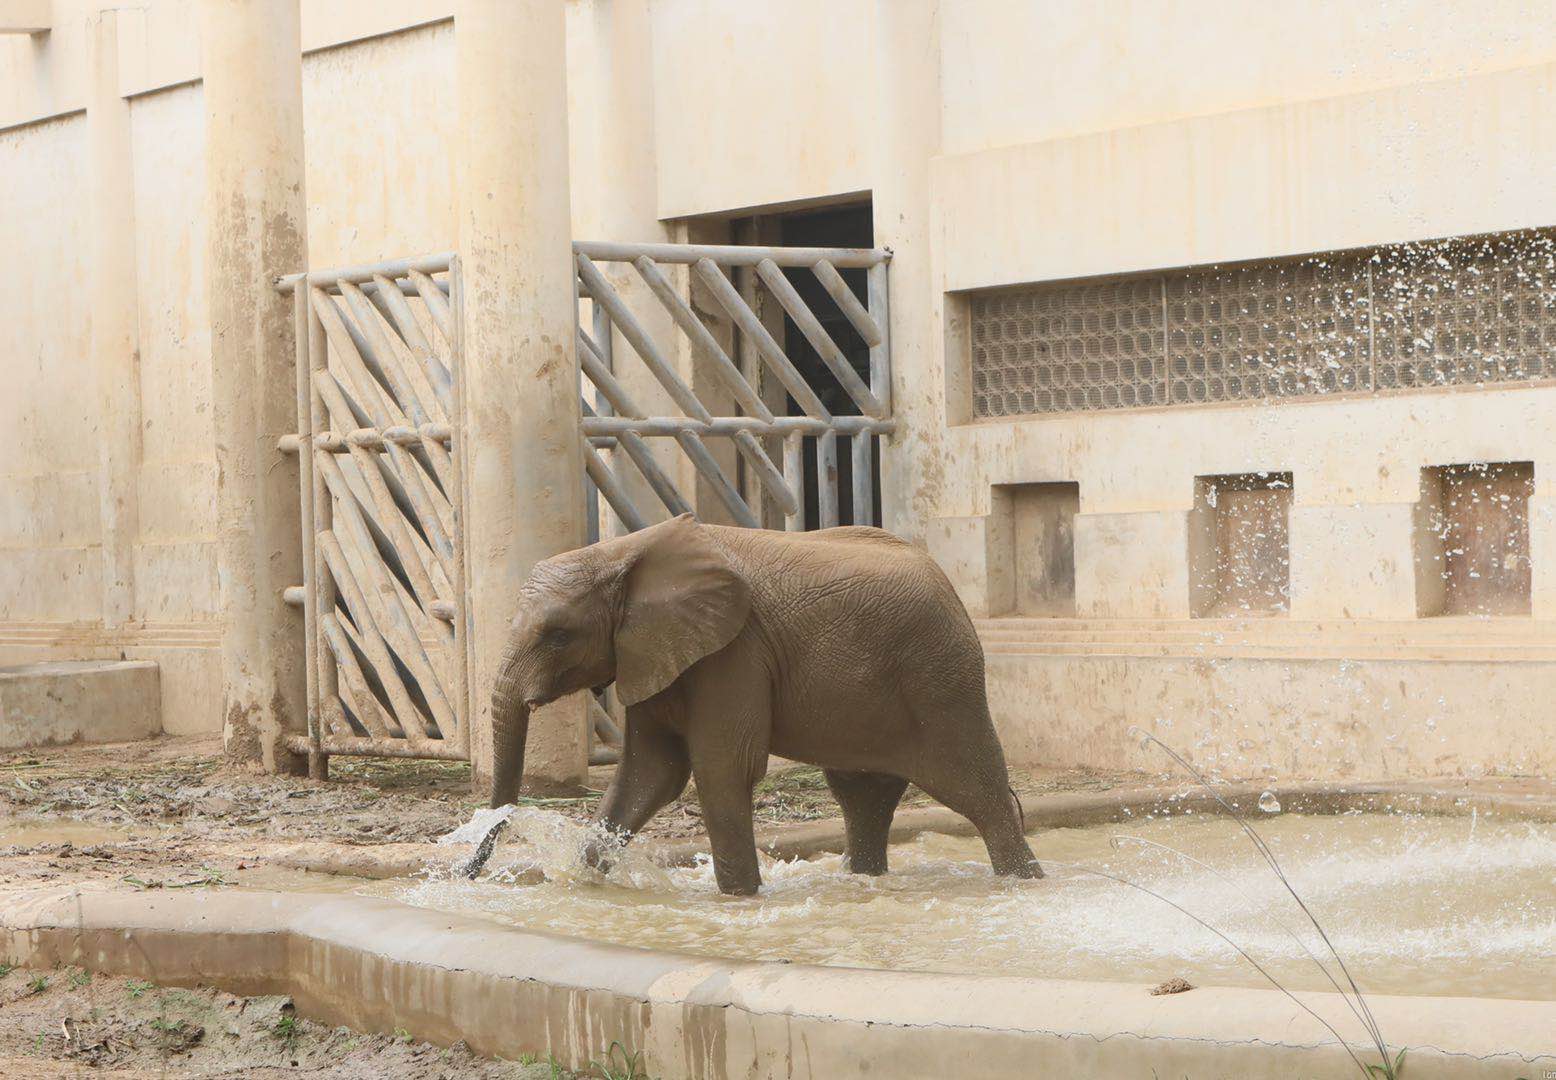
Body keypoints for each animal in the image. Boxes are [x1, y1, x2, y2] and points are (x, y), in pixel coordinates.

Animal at [491, 516, 1039, 896]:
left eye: (558, 635)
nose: (474, 874)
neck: (622, 551)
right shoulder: (653, 654)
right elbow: (651, 773)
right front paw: (581, 883)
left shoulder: (734, 653)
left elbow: (721, 768)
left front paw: (739, 898)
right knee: (863, 796)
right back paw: (862, 882)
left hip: (941, 680)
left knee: (978, 794)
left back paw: (1023, 882)